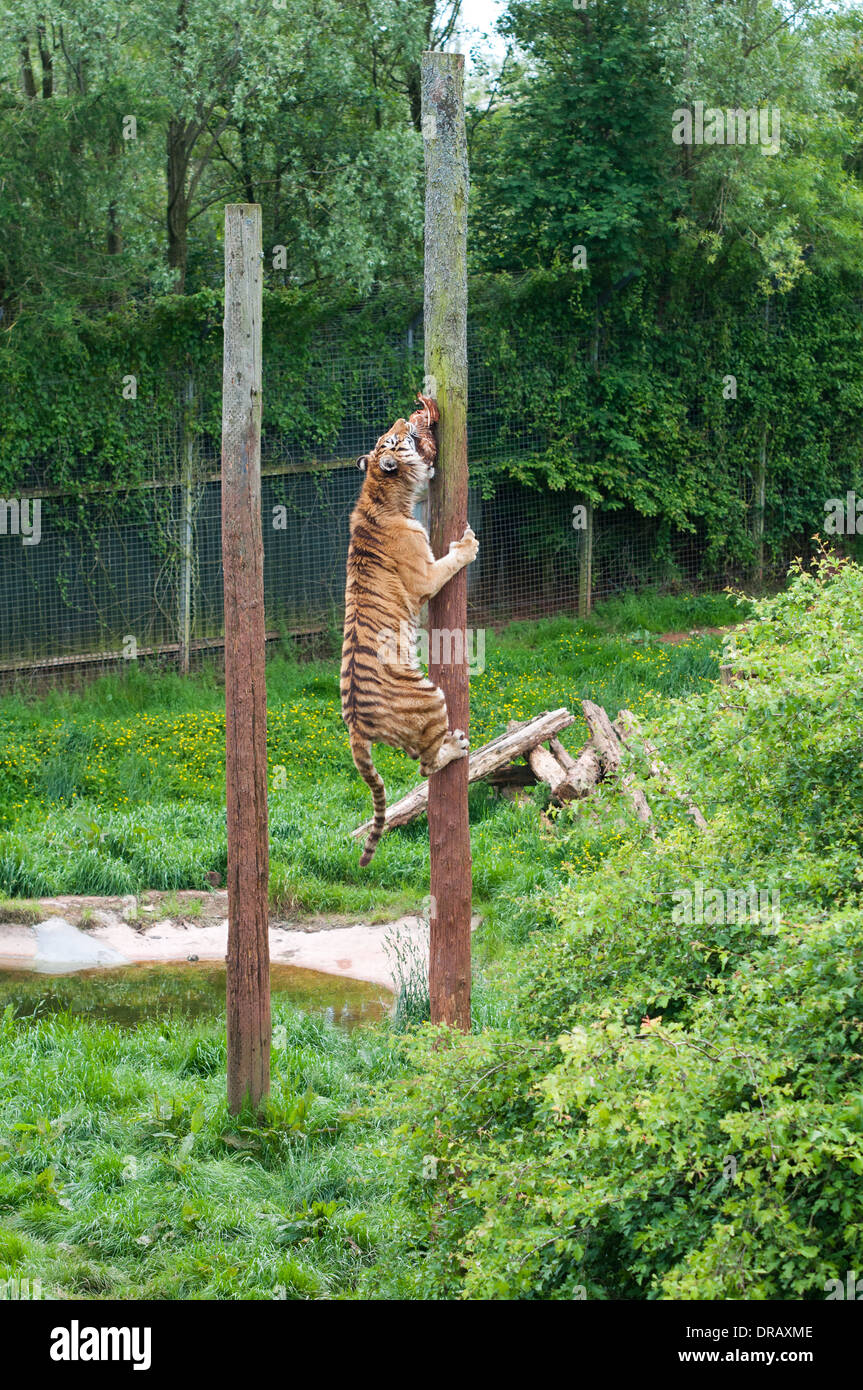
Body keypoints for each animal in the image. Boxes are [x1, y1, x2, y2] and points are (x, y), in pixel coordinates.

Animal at [341, 391, 478, 861]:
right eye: (394, 438)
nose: (405, 418)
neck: (381, 493)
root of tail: (354, 726)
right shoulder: (425, 578)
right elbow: (452, 561)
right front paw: (468, 544)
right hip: (430, 697)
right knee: (425, 764)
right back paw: (455, 747)